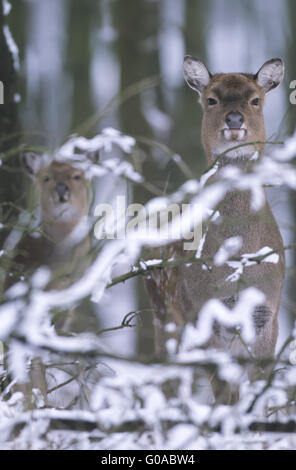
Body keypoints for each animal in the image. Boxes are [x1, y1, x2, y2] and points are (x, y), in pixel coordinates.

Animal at [145, 57, 286, 404]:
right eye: (211, 99)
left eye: (255, 99)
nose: (234, 118)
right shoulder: (200, 311)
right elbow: (224, 394)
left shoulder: (267, 315)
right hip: (163, 313)